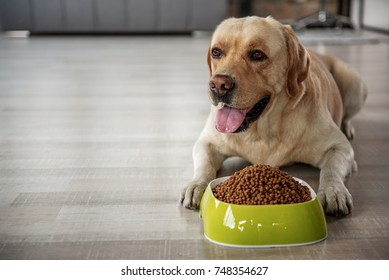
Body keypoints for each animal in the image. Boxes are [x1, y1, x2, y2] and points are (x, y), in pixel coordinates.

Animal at [180, 15, 366, 217]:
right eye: (216, 52)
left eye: (257, 54)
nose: (219, 85)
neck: (262, 131)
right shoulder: (206, 142)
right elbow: (204, 164)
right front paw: (197, 185)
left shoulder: (341, 148)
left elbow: (331, 169)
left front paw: (334, 191)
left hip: (355, 84)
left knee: (347, 116)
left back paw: (347, 127)